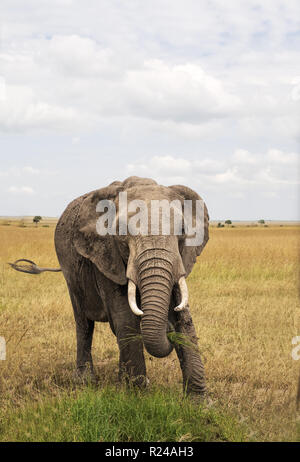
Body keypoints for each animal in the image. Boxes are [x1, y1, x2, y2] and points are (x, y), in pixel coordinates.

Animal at [10, 177, 210, 398]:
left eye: (183, 232)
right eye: (121, 233)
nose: (168, 329)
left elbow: (185, 318)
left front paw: (199, 402)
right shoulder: (104, 254)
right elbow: (125, 318)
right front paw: (138, 395)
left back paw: (121, 381)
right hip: (69, 270)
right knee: (84, 323)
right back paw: (86, 381)